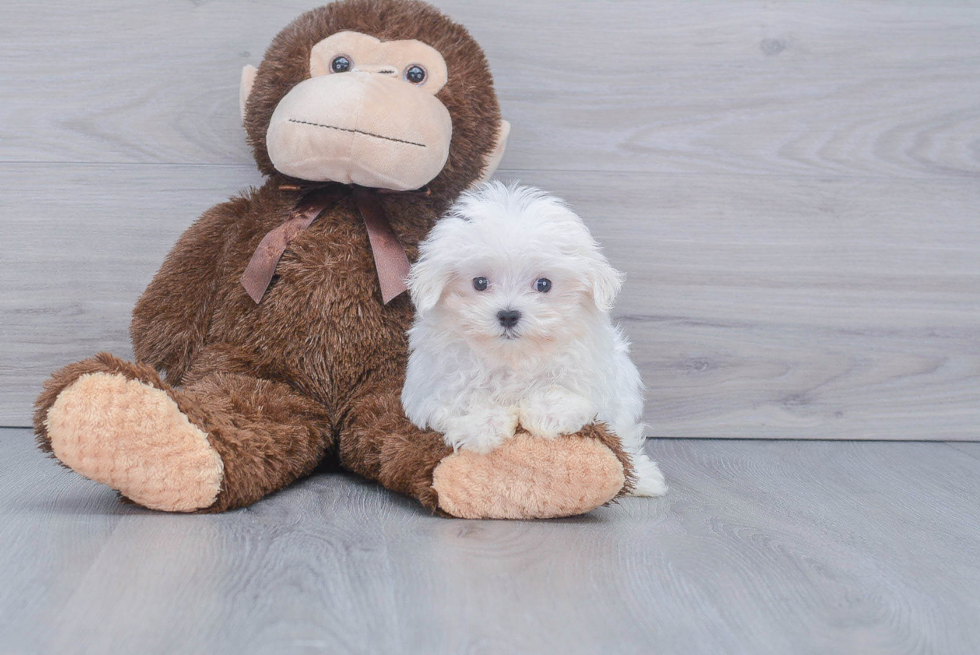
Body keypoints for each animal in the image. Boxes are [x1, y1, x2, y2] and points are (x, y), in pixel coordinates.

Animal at [398, 182, 668, 494]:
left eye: (543, 284)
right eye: (480, 283)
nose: (508, 315)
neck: (514, 358)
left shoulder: (593, 375)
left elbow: (570, 391)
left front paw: (547, 413)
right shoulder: (432, 384)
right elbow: (458, 399)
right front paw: (485, 423)